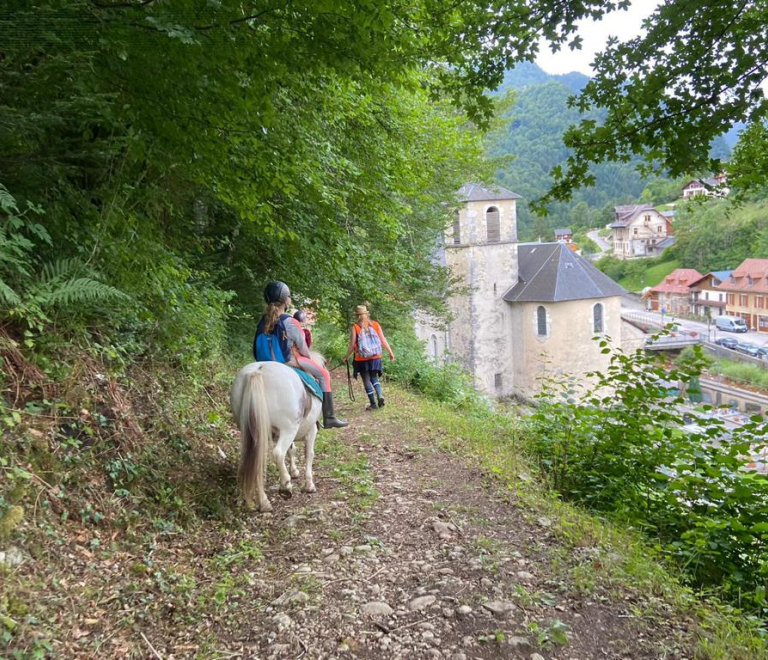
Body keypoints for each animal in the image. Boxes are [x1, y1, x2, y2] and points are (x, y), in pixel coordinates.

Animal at [230, 358, 322, 512]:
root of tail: (258, 370)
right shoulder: (311, 430)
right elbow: (309, 453)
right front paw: (309, 485)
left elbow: (292, 450)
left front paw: (294, 471)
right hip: (288, 428)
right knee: (278, 453)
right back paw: (285, 486)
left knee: (258, 460)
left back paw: (264, 503)